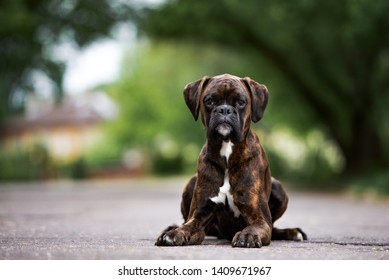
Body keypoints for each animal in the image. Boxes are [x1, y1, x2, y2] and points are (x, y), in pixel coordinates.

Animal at [155, 74, 306, 247]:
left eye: (241, 101)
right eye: (209, 100)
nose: (225, 109)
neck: (227, 153)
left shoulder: (260, 219)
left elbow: (256, 227)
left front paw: (247, 235)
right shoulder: (199, 216)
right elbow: (187, 227)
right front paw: (173, 234)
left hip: (279, 188)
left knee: (274, 229)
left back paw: (293, 232)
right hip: (192, 183)